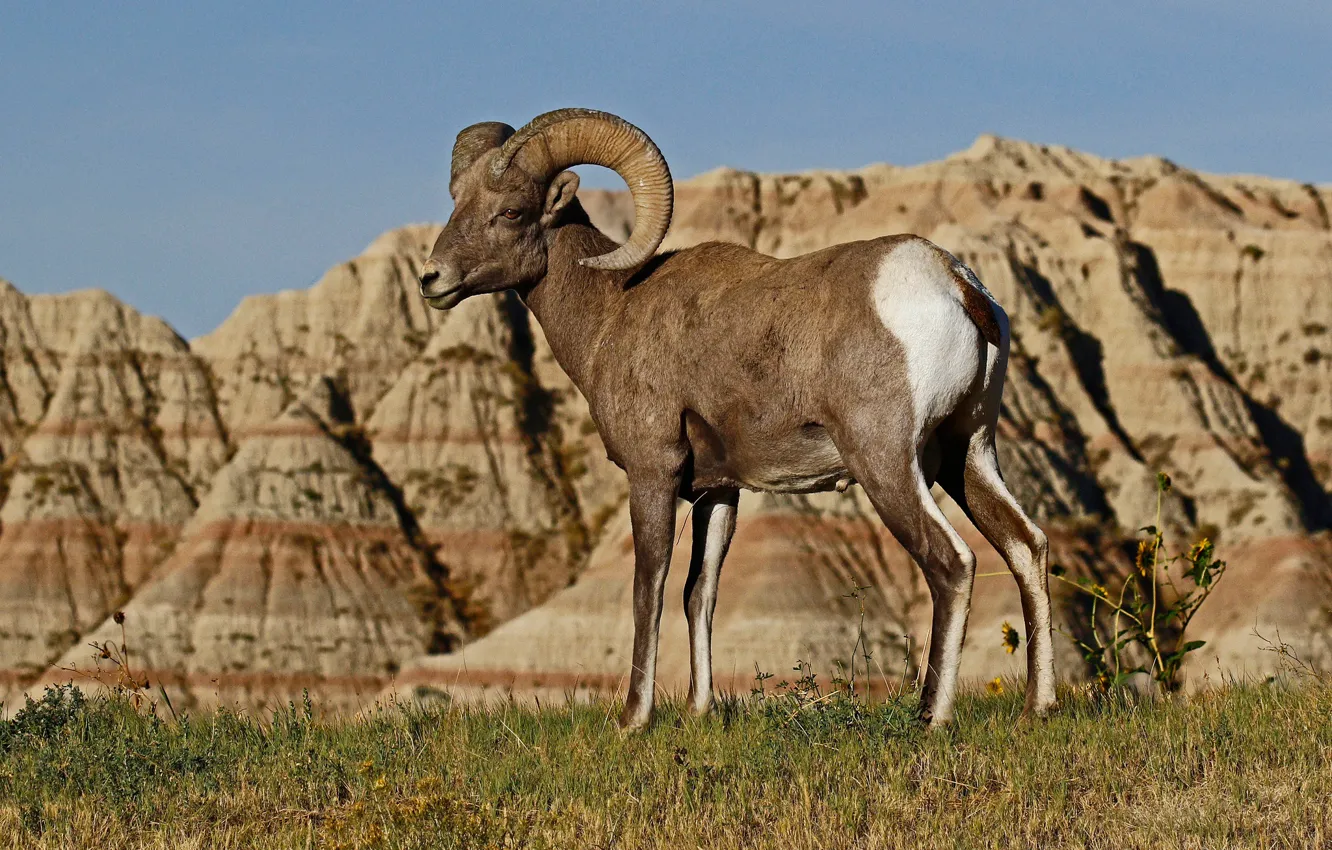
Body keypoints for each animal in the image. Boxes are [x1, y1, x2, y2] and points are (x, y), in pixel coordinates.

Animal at [420, 107, 1054, 735]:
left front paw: (633, 720)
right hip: (967, 453)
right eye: (457, 201)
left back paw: (930, 717)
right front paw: (698, 711)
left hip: (887, 464)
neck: (612, 310)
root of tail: (957, 285)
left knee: (951, 562)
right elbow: (698, 592)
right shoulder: (718, 491)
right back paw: (1037, 707)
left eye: (511, 210)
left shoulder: (652, 474)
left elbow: (648, 589)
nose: (432, 280)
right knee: (1027, 545)